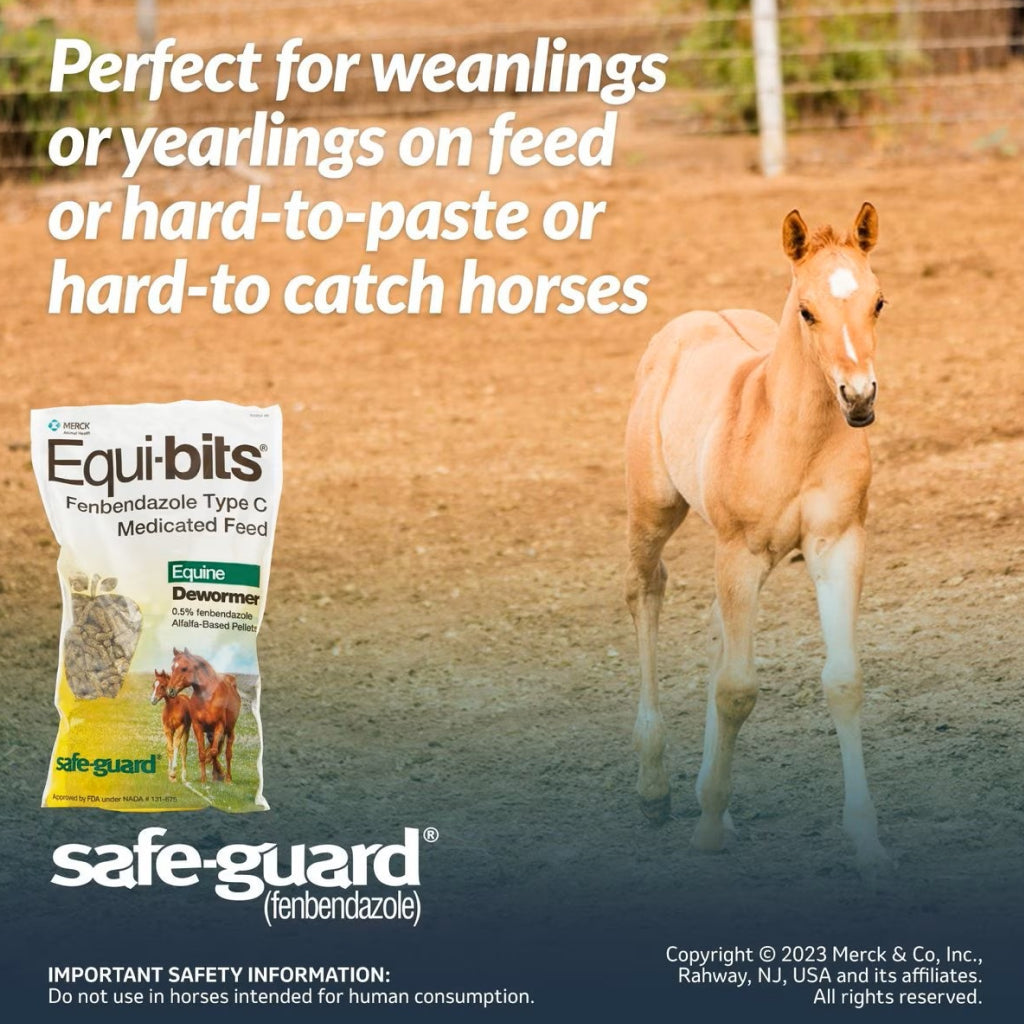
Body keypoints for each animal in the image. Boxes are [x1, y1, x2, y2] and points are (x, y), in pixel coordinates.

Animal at [167, 648, 240, 783]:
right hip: (211, 734)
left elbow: (213, 752)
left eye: (184, 668)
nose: (170, 690)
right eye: (172, 667)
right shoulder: (198, 727)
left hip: (229, 731)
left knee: (227, 753)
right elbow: (203, 753)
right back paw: (216, 775)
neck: (207, 697)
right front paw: (203, 779)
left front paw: (219, 773)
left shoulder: (219, 726)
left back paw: (228, 778)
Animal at [624, 203, 888, 870]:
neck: (793, 435)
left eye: (878, 301)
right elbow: (738, 690)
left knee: (717, 627)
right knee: (646, 592)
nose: (859, 398)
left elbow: (843, 681)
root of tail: (694, 319)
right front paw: (709, 830)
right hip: (653, 511)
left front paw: (866, 840)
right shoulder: (739, 552)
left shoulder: (838, 545)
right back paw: (655, 789)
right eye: (807, 310)